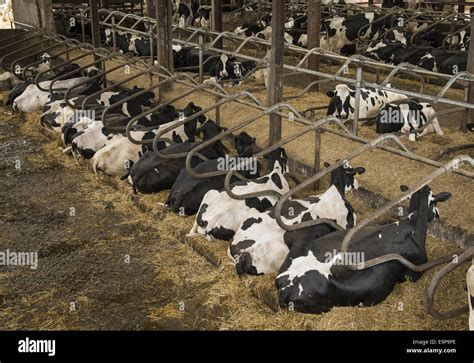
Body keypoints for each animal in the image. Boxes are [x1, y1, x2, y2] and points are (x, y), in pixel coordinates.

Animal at [276, 186, 454, 314]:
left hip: (300, 244)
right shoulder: (414, 271)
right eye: (436, 202)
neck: (412, 225)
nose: (438, 215)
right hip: (324, 307)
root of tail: (285, 284)